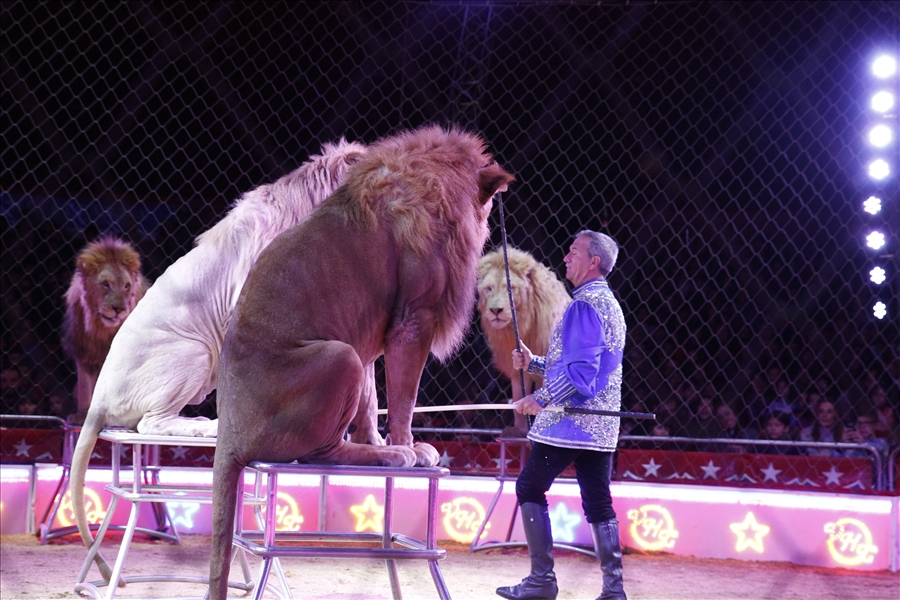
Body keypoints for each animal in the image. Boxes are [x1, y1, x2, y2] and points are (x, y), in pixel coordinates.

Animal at [62, 236, 148, 419]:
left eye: (126, 285)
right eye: (106, 284)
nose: (118, 309)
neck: (101, 329)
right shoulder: (84, 352)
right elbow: (85, 386)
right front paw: (82, 415)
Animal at [207, 125, 514, 598]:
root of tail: (229, 431)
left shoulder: (372, 329)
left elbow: (372, 399)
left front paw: (378, 442)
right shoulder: (412, 318)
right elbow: (404, 397)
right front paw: (406, 446)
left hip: (348, 349)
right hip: (340, 356)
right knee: (319, 454)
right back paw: (393, 458)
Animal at [477, 247, 571, 434]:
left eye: (510, 288)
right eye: (489, 288)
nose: (495, 310)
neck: (524, 325)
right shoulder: (515, 368)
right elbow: (518, 398)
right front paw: (519, 430)